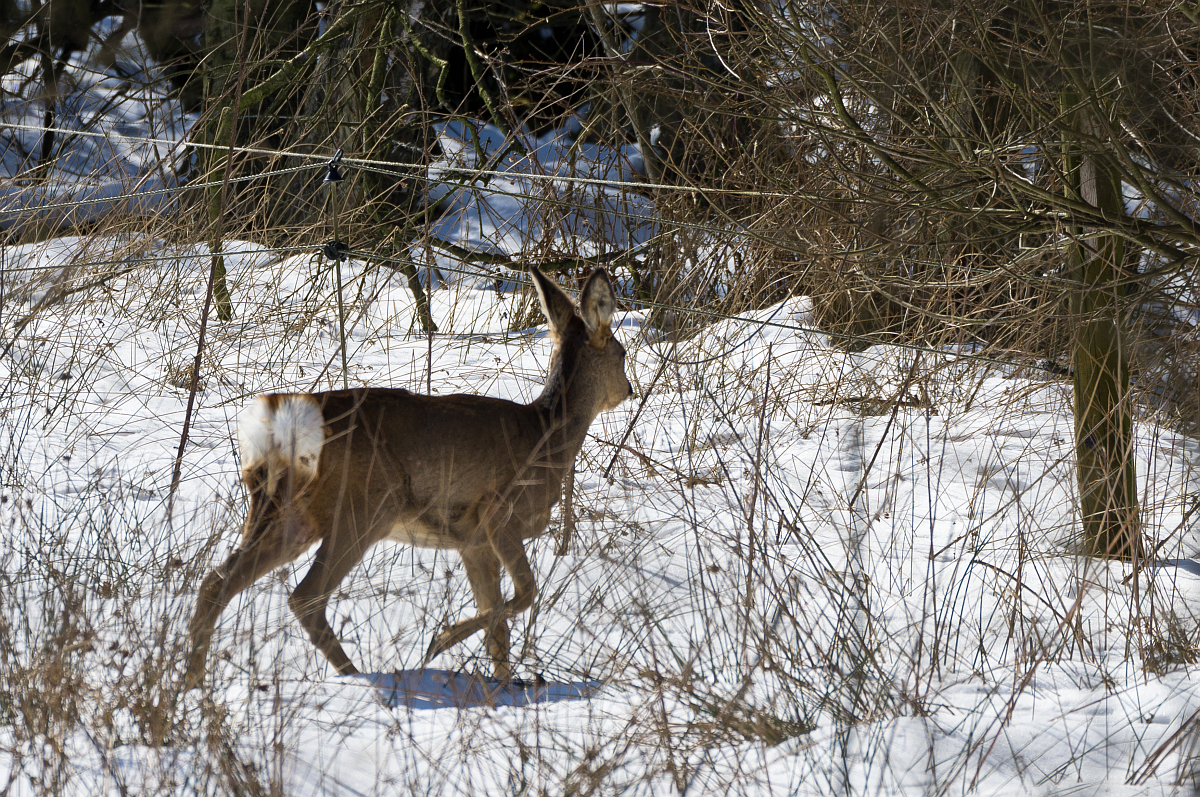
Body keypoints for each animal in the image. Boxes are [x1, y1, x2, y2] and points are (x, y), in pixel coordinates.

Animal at [182, 268, 633, 691]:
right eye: (622, 353)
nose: (627, 389)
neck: (549, 435)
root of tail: (282, 425)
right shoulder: (497, 513)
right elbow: (523, 596)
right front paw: (440, 642)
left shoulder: (471, 542)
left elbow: (497, 627)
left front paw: (501, 686)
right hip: (364, 507)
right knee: (305, 596)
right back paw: (360, 676)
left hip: (284, 512)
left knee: (215, 582)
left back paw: (192, 685)